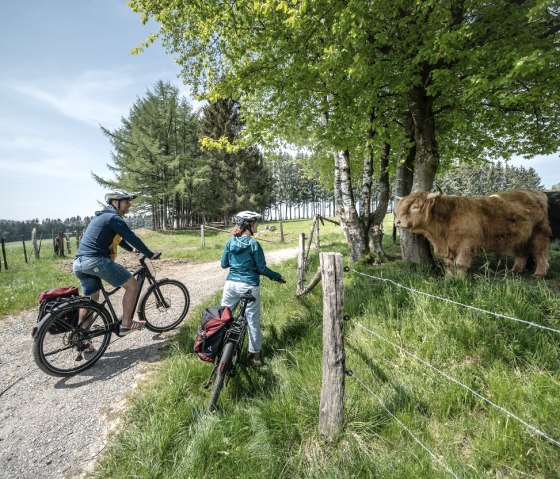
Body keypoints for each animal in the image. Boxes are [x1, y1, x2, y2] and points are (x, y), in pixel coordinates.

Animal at [394, 188, 552, 278]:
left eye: (416, 206)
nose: (397, 221)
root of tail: (536, 193)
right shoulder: (448, 247)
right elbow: (449, 264)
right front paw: (449, 279)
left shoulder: (465, 244)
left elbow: (460, 264)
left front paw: (459, 279)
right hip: (521, 237)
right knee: (521, 253)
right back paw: (514, 271)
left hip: (539, 233)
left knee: (541, 253)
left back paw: (539, 273)